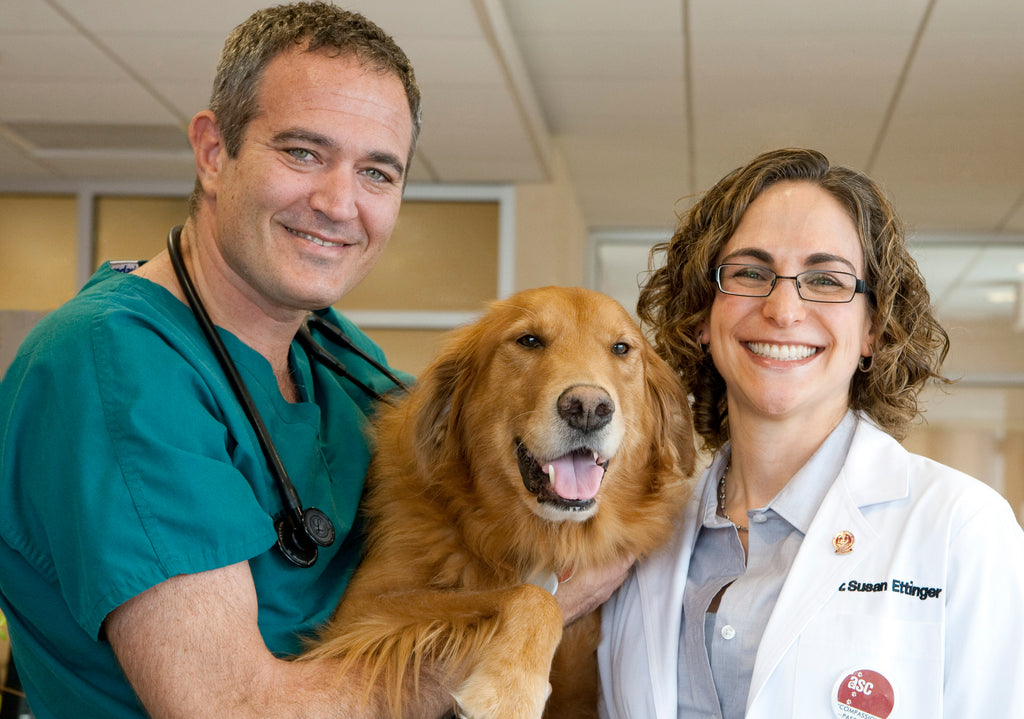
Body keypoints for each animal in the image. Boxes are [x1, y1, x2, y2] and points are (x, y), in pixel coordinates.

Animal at [303, 288, 696, 719]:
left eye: (622, 348)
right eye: (529, 340)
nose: (589, 408)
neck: (542, 537)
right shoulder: (360, 612)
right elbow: (533, 595)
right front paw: (510, 690)